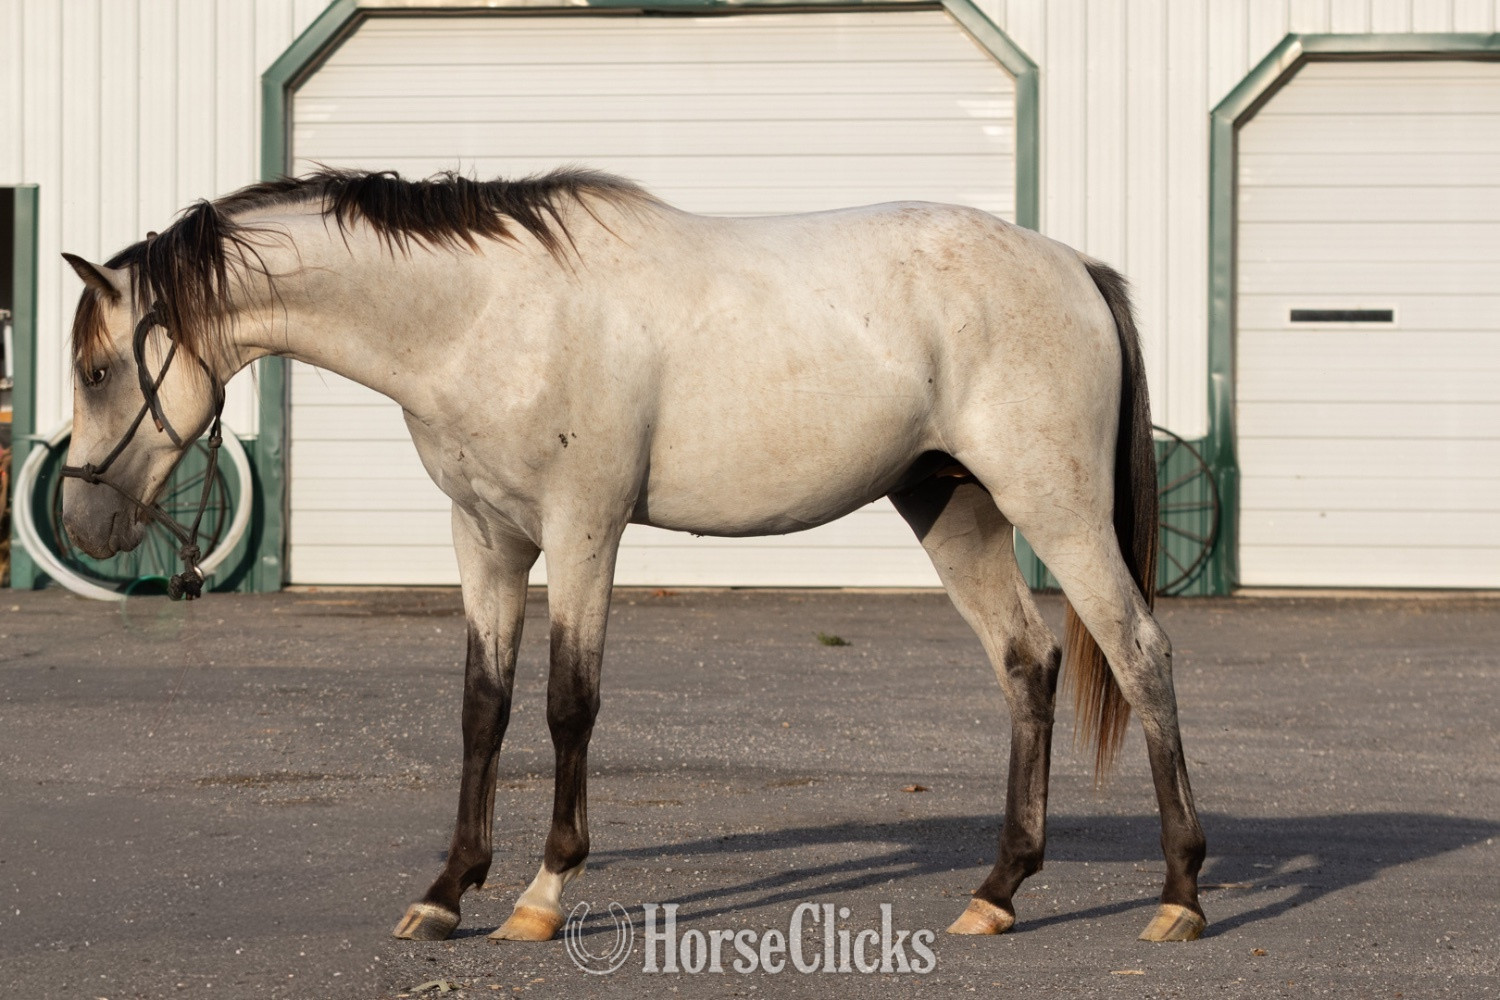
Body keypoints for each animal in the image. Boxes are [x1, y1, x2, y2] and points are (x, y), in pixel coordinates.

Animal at [60, 168, 1207, 945]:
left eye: (100, 368)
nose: (81, 523)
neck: (483, 315)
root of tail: (1076, 267)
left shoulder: (583, 529)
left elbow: (570, 702)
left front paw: (540, 893)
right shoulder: (486, 538)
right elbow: (483, 707)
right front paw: (446, 892)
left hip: (1055, 506)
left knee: (1141, 654)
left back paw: (1181, 894)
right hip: (953, 508)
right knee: (1029, 664)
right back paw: (998, 892)